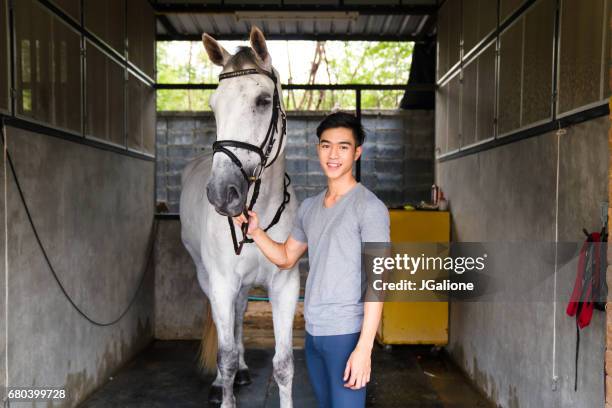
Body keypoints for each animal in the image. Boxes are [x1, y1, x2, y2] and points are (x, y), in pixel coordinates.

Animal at [178, 27, 300, 406]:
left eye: (263, 100)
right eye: (214, 105)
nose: (222, 193)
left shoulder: (285, 285)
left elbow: (284, 364)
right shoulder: (221, 283)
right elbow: (225, 355)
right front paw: (225, 386)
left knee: (239, 313)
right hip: (207, 276)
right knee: (225, 330)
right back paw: (222, 381)